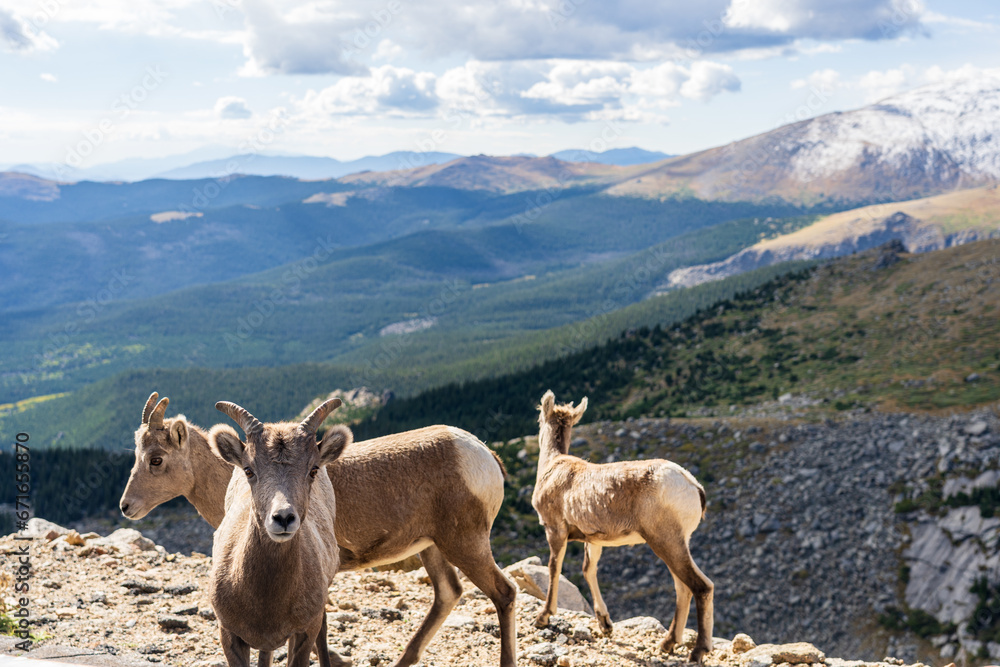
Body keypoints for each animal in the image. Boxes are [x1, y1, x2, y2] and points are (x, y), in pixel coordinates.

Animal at [531, 390, 714, 663]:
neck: (552, 466)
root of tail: (694, 487)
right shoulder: (593, 540)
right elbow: (588, 570)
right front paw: (605, 625)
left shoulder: (555, 529)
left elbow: (554, 568)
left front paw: (542, 617)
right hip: (678, 543)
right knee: (683, 587)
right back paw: (667, 644)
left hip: (665, 540)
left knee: (700, 586)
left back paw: (697, 651)